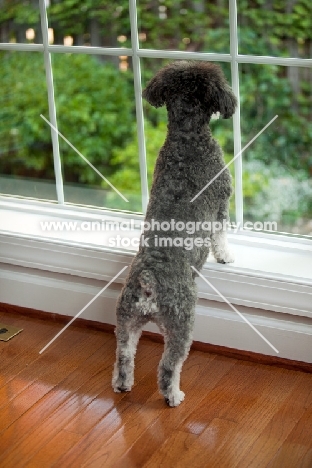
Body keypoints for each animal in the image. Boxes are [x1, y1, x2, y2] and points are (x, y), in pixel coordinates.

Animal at [112, 61, 236, 406]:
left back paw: (122, 385)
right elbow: (221, 235)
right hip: (182, 323)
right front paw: (226, 256)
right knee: (169, 365)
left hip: (126, 321)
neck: (187, 139)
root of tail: (148, 284)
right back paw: (174, 396)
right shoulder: (222, 201)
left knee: (124, 356)